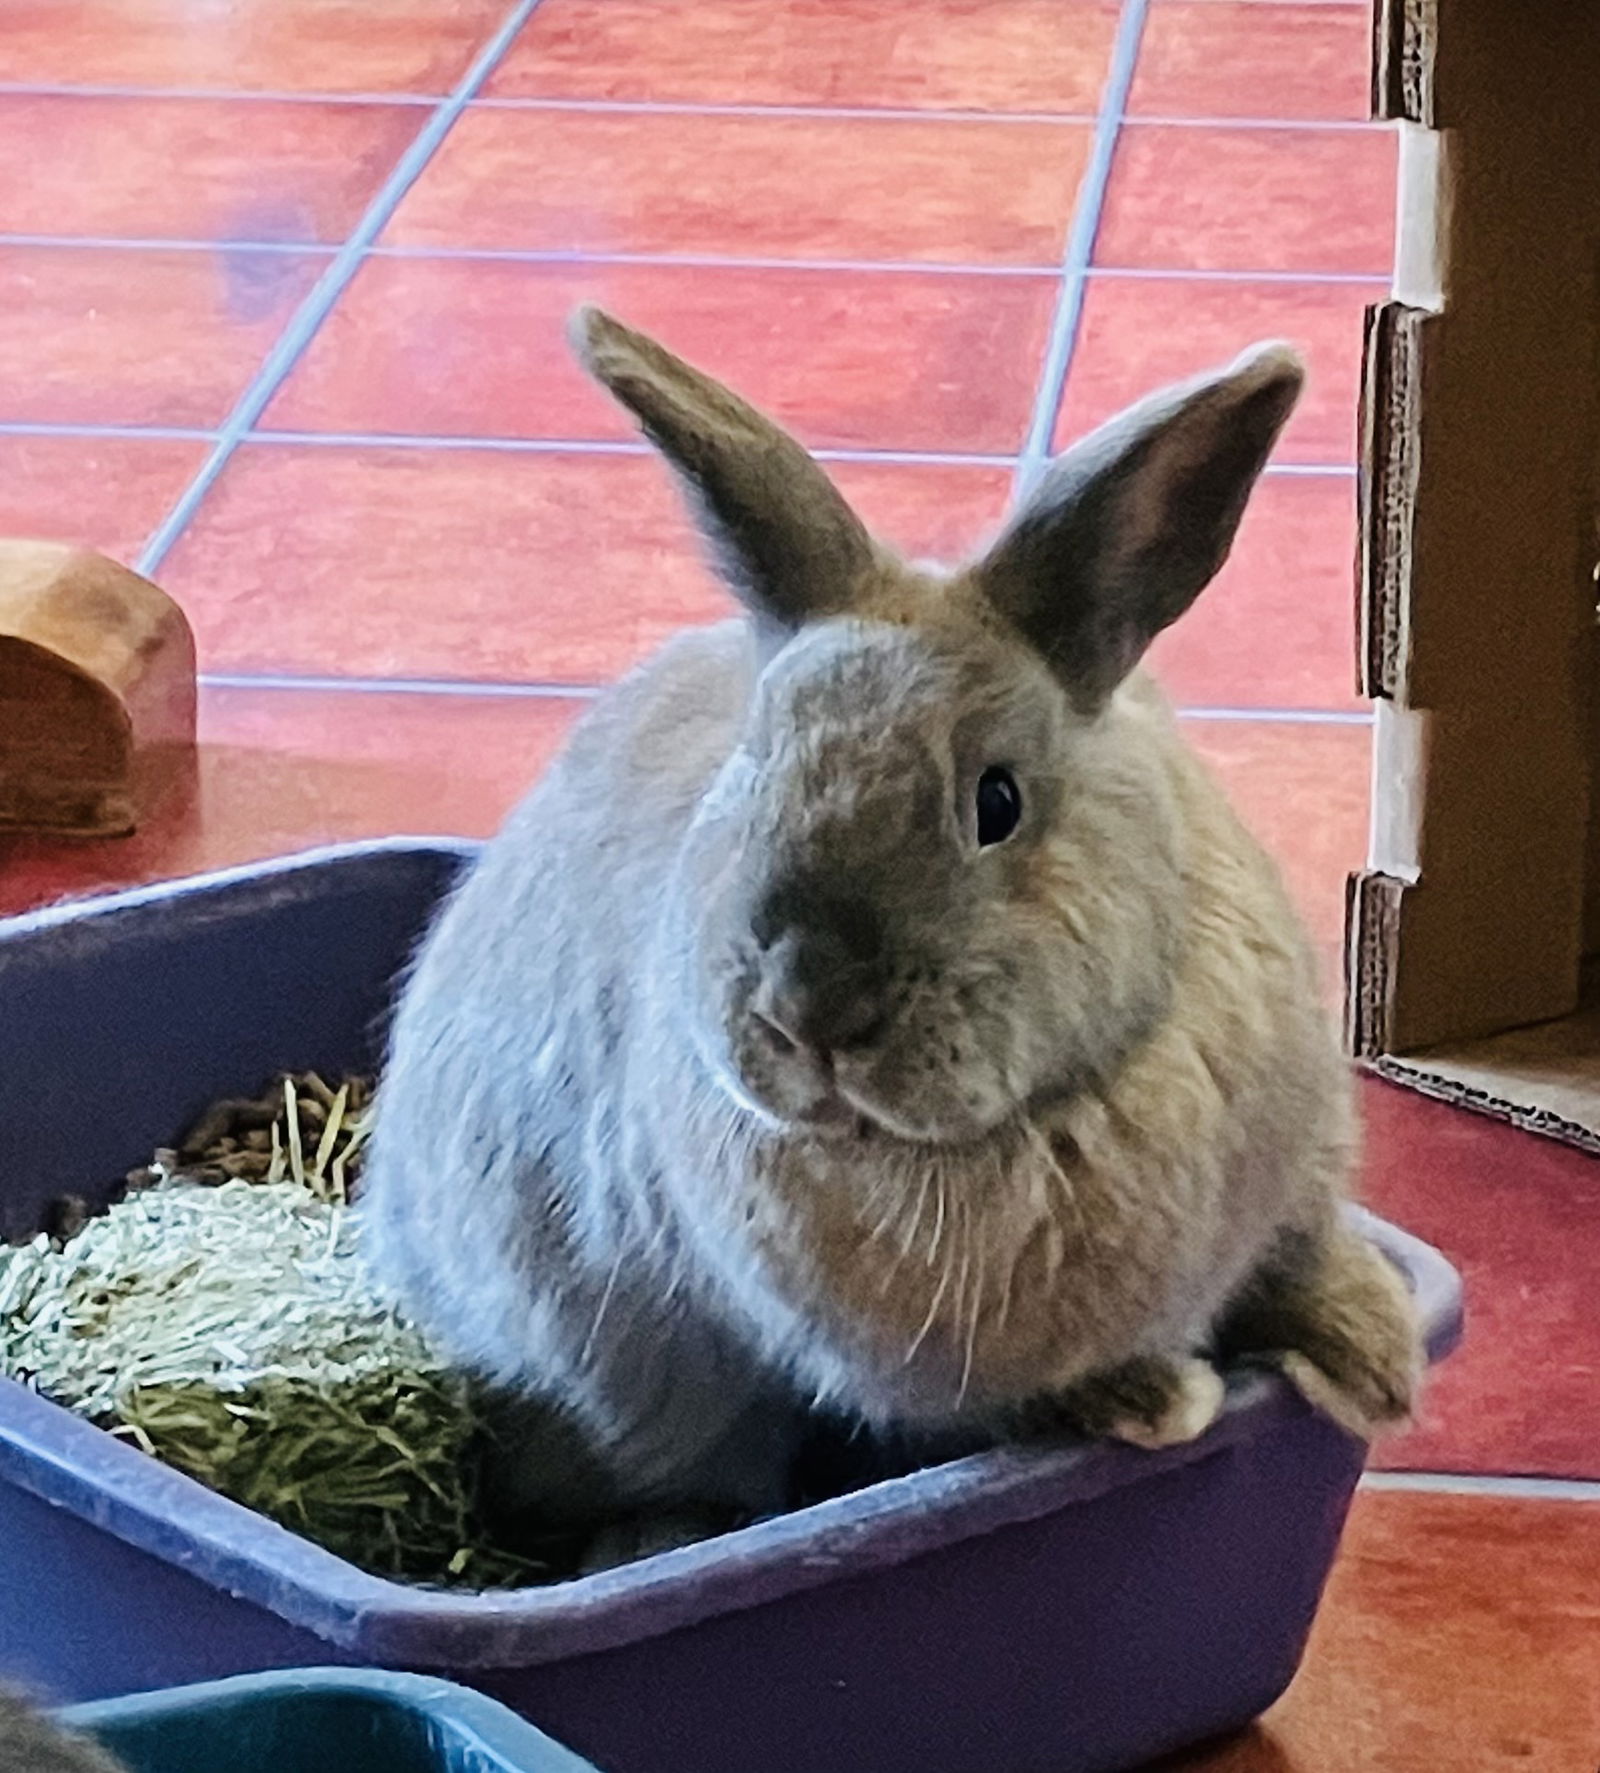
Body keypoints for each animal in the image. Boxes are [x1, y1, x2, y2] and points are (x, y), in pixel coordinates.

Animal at [356, 301, 1419, 1524]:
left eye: (996, 801)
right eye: (752, 770)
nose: (809, 1011)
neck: (1052, 1108)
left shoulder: (1295, 1184)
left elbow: (1303, 1261)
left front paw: (1378, 1361)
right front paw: (1161, 1399)